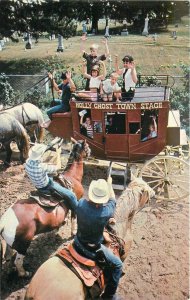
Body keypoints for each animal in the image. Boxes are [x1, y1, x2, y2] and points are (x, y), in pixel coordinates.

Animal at [0, 138, 90, 276]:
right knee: (18, 261)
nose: (90, 152)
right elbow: (74, 218)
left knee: (8, 256)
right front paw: (73, 232)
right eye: (87, 147)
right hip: (24, 244)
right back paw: (24, 273)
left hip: (11, 244)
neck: (72, 177)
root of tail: (4, 222)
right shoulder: (77, 201)